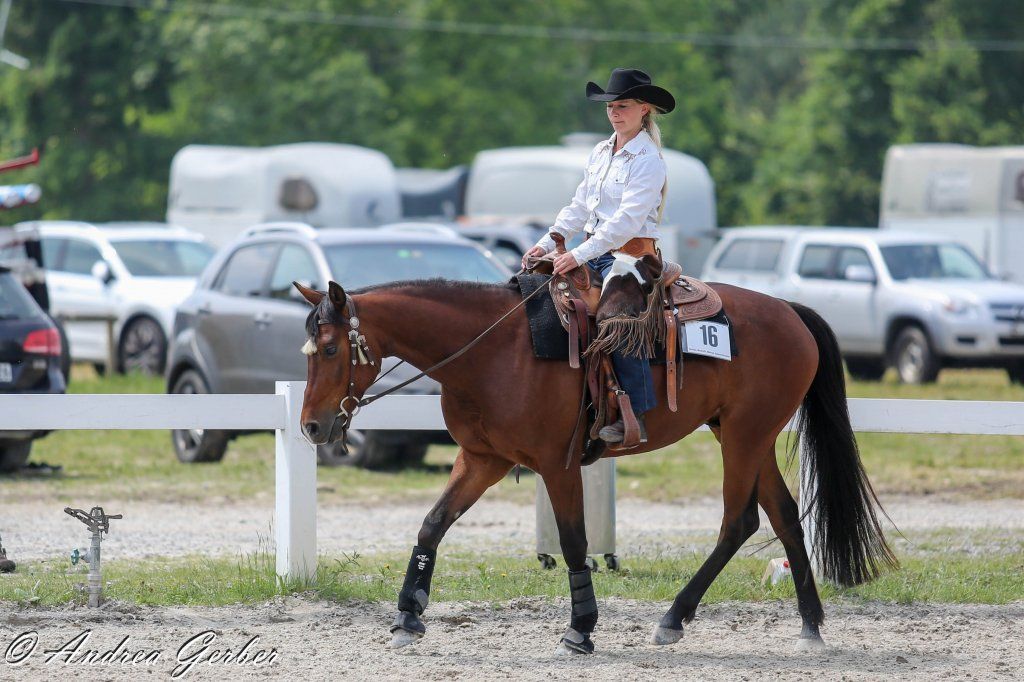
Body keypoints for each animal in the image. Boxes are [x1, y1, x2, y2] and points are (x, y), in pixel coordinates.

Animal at [293, 261, 896, 655]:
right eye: (309, 351)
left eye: (331, 348)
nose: (312, 426)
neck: (494, 351)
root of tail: (789, 310)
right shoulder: (481, 459)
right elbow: (432, 524)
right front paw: (407, 614)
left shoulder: (555, 465)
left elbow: (575, 542)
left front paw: (581, 628)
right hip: (745, 434)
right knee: (785, 515)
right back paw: (810, 625)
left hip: (746, 436)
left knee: (738, 520)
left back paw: (673, 618)